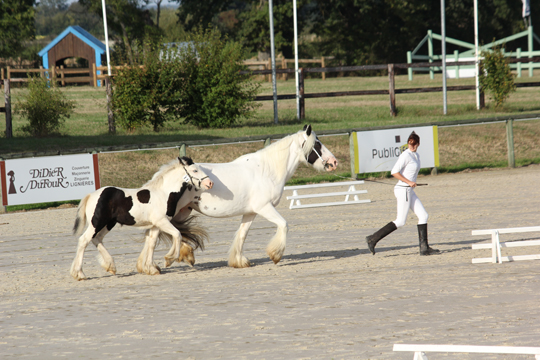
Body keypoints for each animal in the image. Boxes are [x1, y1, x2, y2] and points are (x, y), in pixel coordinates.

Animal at [70, 156, 214, 280]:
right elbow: (177, 234)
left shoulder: (155, 225)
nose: (210, 183)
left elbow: (152, 243)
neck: (163, 193)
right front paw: (169, 260)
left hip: (109, 223)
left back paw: (111, 266)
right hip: (97, 222)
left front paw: (152, 269)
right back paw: (79, 274)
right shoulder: (162, 221)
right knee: (84, 240)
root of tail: (91, 195)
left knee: (97, 239)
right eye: (195, 170)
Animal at [154, 125, 338, 268]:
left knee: (175, 230)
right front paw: (275, 255)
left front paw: (239, 261)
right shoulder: (265, 207)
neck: (266, 170)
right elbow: (283, 225)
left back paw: (185, 255)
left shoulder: (251, 212)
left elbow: (242, 235)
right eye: (317, 144)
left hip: (183, 211)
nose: (334, 162)